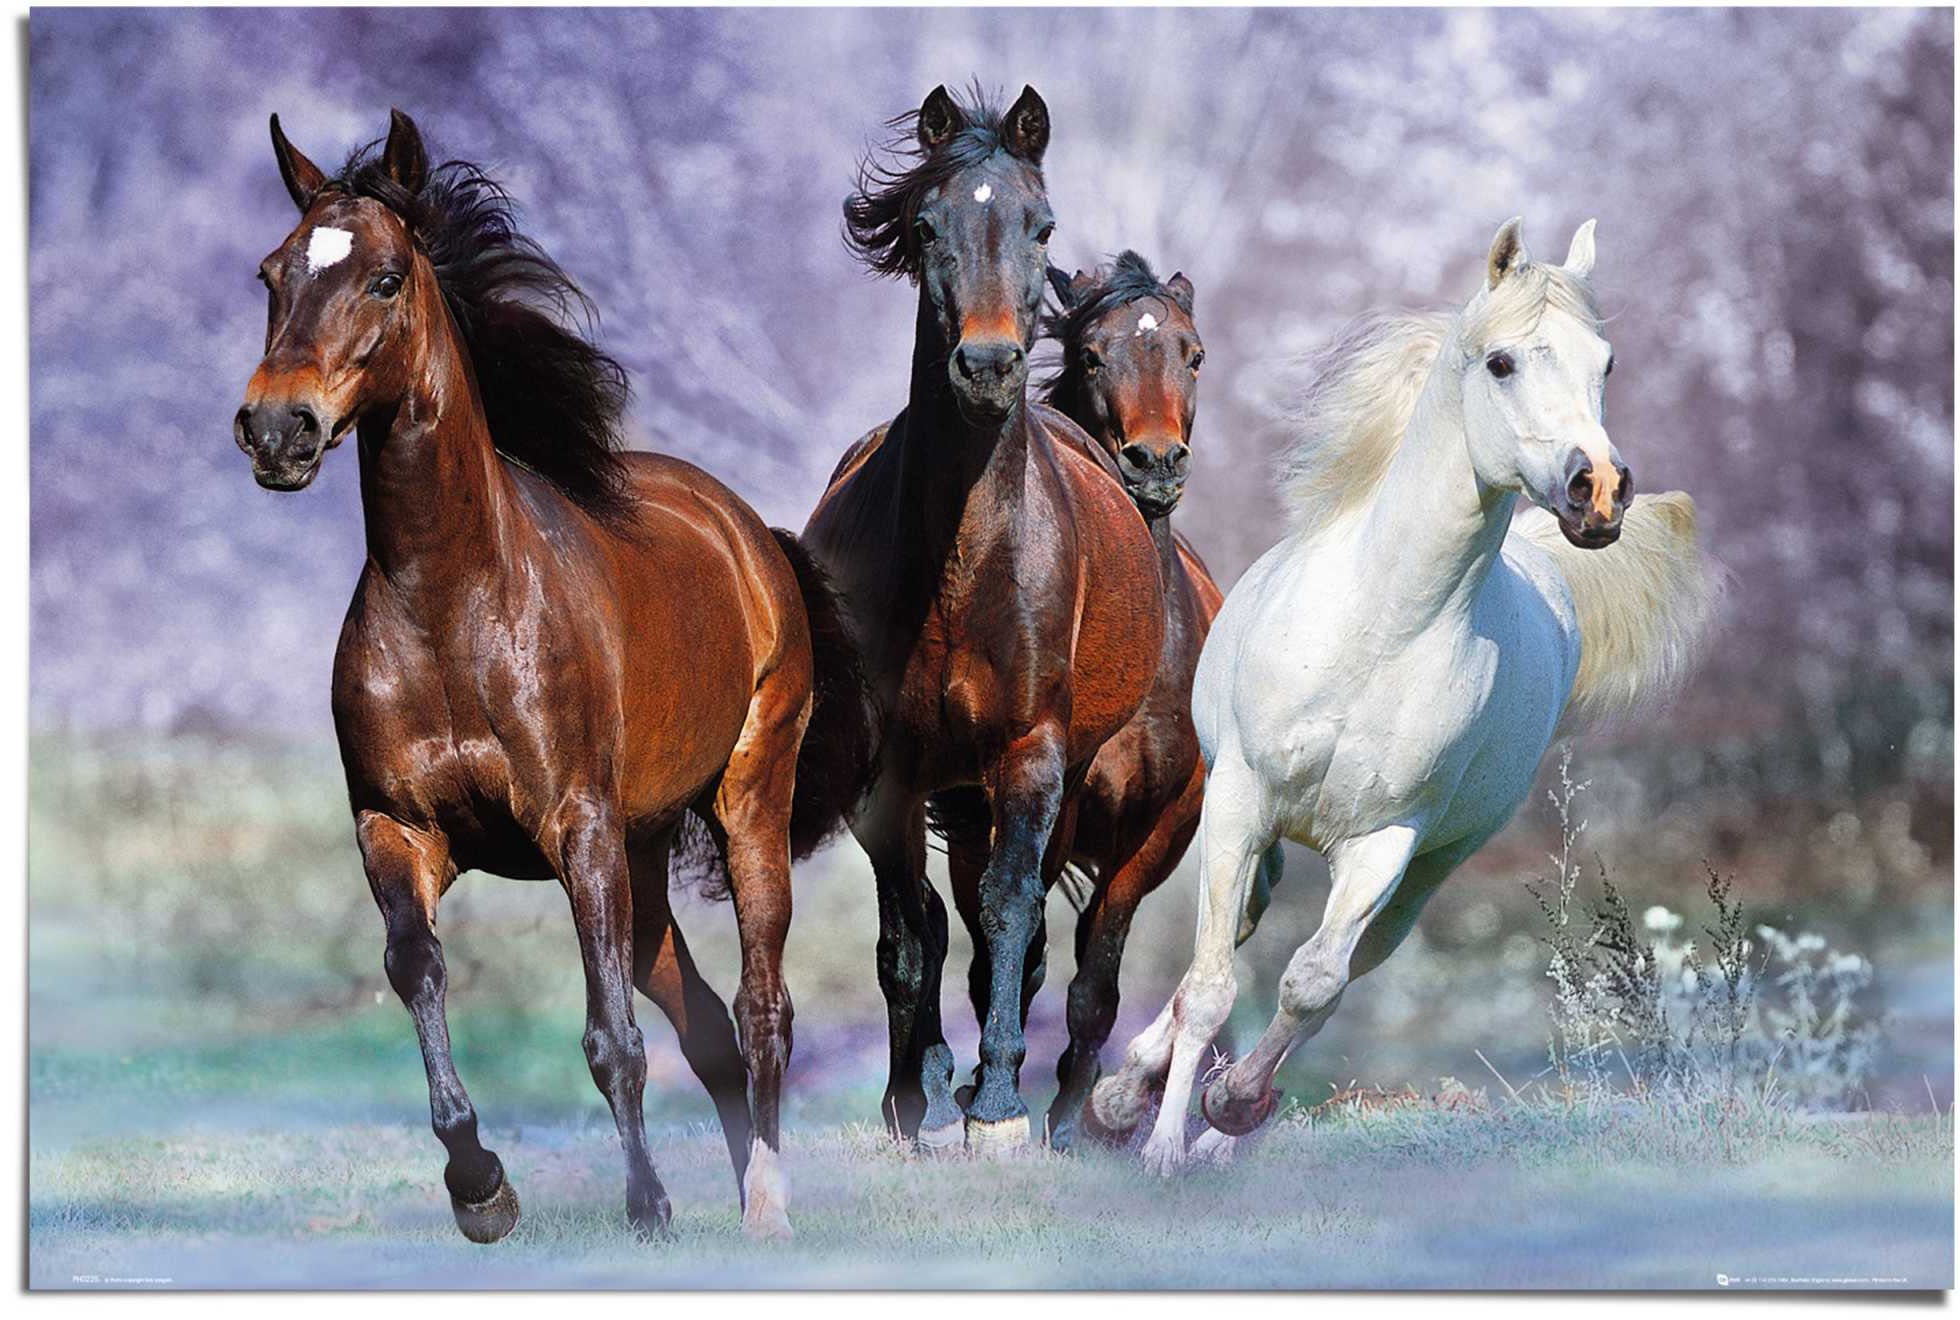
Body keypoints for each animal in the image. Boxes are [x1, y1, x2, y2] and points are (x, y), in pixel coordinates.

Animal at [233, 109, 872, 1239]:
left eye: (386, 278)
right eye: (273, 273)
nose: (277, 429)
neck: (453, 607)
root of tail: (752, 536)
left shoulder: (575, 830)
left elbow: (610, 1037)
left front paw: (648, 1206)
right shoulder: (399, 830)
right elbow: (418, 968)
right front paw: (480, 1187)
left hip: (745, 805)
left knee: (761, 1009)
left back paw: (767, 1206)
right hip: (643, 859)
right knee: (708, 1024)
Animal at [804, 85, 1167, 1153]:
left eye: (1041, 225)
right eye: (928, 227)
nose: (990, 366)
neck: (963, 561)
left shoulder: (1031, 751)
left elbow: (1009, 910)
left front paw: (1000, 1103)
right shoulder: (890, 771)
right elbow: (904, 935)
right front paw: (912, 1098)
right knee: (931, 920)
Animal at [1090, 218, 1713, 1173]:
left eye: (1606, 363)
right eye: (1501, 362)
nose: (1599, 491)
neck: (1381, 628)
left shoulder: (1387, 842)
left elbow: (1314, 983)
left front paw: (1228, 1106)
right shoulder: (1238, 802)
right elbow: (1210, 985)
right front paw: (1155, 1143)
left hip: (1432, 866)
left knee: (1347, 963)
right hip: (1256, 829)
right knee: (1230, 940)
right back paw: (1127, 1098)